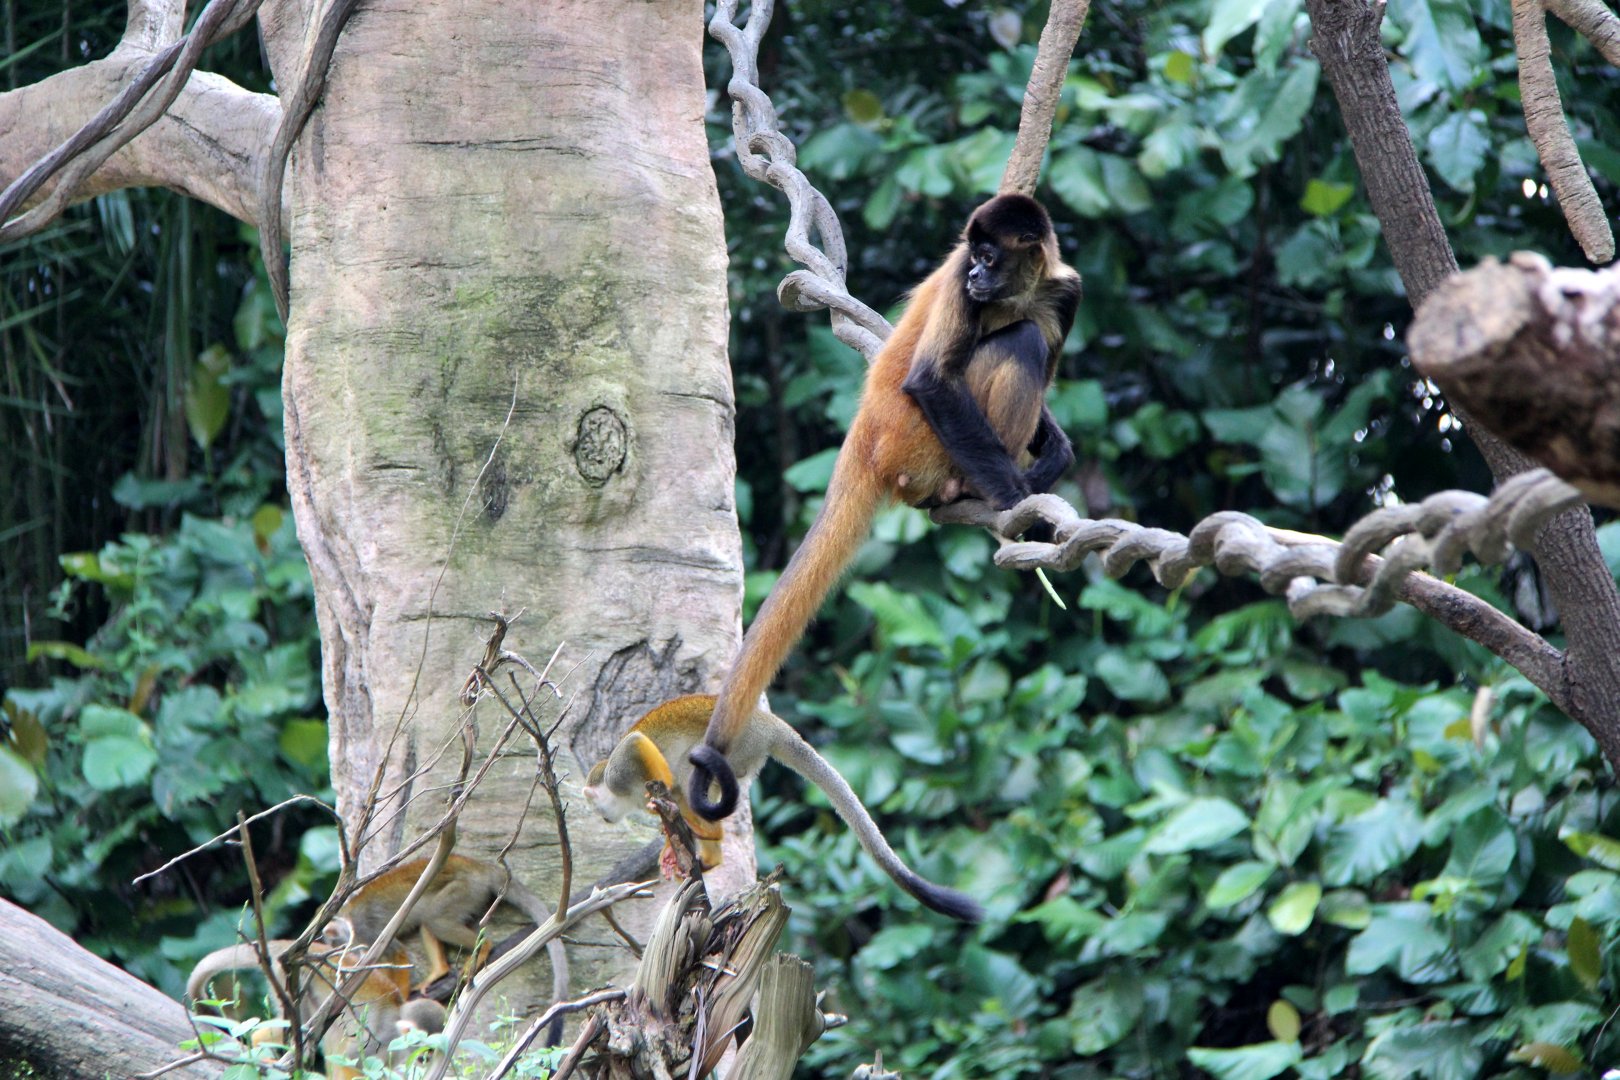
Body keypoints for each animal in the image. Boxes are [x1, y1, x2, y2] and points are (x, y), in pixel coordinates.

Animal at [583, 695, 983, 922]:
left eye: (596, 804)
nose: (601, 817)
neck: (625, 797)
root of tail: (772, 724)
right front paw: (670, 849)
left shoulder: (620, 770)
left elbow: (639, 746)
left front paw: (663, 791)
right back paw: (709, 853)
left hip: (739, 744)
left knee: (687, 773)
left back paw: (704, 827)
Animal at [688, 194, 1081, 821]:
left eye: (991, 257)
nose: (976, 277)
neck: (1019, 289)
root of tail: (867, 429)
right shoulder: (957, 289)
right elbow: (931, 381)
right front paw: (1016, 498)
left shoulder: (1064, 291)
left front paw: (1058, 452)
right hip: (917, 442)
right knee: (1021, 341)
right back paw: (975, 492)